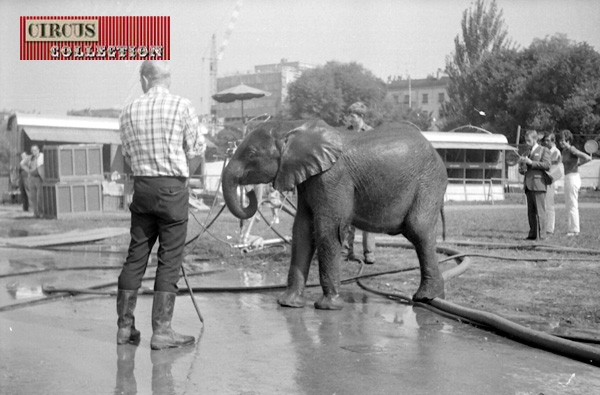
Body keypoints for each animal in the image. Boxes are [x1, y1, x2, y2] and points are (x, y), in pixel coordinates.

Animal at [223, 119, 448, 310]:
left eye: (251, 154)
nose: (250, 193)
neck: (293, 127)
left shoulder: (332, 178)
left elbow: (327, 230)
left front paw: (328, 306)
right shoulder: (307, 179)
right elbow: (302, 230)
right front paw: (288, 304)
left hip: (429, 182)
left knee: (418, 229)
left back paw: (425, 298)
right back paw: (433, 297)